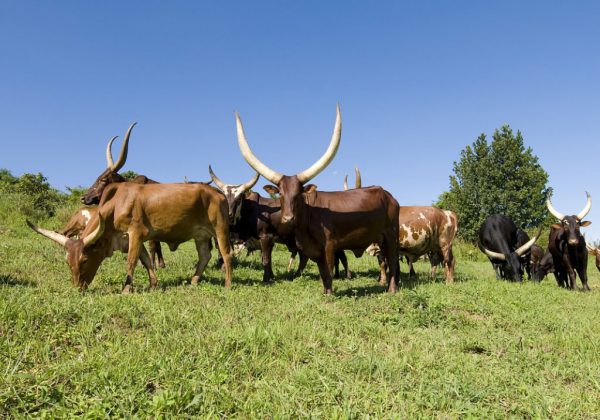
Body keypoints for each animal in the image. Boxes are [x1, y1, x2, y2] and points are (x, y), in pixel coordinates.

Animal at [29, 182, 233, 294]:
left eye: (85, 260)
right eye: (67, 261)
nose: (77, 287)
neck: (116, 205)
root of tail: (217, 193)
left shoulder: (136, 233)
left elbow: (131, 262)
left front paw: (126, 289)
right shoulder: (135, 240)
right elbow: (146, 261)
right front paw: (153, 285)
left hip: (220, 229)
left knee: (226, 255)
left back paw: (228, 284)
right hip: (201, 236)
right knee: (204, 256)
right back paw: (194, 281)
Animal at [234, 106, 398, 296]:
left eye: (299, 193)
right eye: (280, 193)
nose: (288, 218)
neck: (309, 217)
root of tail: (388, 195)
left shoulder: (329, 246)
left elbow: (328, 272)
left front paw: (329, 296)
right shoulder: (315, 250)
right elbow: (322, 273)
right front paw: (325, 292)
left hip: (391, 235)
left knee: (392, 260)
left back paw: (392, 289)